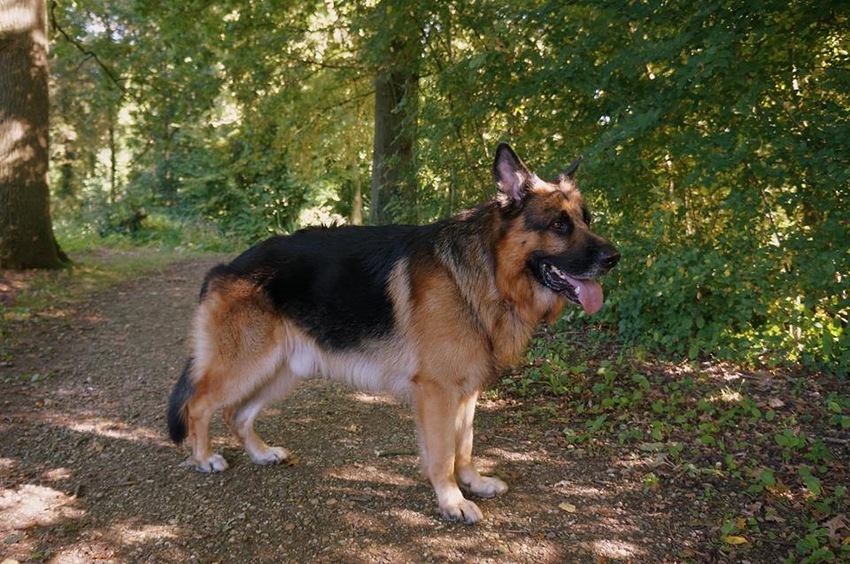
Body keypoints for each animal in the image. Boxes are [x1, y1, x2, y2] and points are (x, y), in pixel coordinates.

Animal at [166, 143, 619, 524]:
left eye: (587, 220)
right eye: (559, 225)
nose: (614, 257)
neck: (488, 271)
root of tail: (225, 267)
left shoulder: (465, 392)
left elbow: (465, 446)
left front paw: (472, 483)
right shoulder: (436, 392)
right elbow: (442, 455)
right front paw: (452, 502)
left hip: (281, 370)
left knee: (236, 413)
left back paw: (261, 454)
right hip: (245, 365)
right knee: (200, 405)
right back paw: (204, 458)